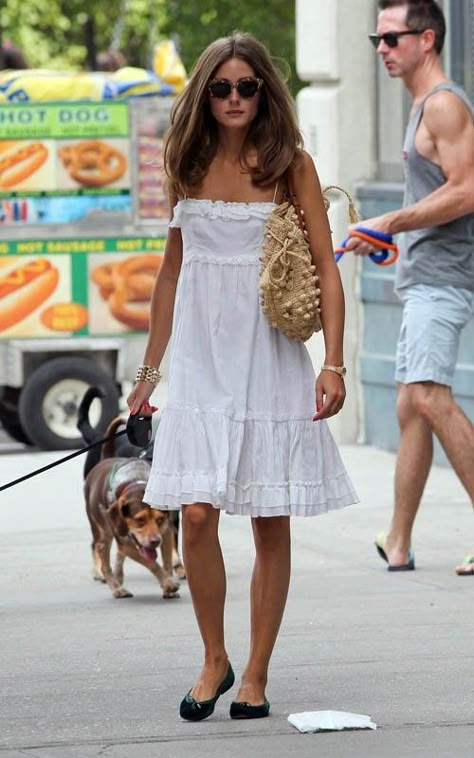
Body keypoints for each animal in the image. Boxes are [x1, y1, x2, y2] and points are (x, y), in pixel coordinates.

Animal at [83, 418, 180, 604]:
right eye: (139, 520)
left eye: (160, 519)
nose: (155, 541)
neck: (138, 481)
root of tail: (105, 459)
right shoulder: (127, 543)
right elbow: (152, 564)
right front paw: (168, 583)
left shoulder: (166, 533)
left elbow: (166, 562)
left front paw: (168, 585)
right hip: (103, 531)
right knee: (102, 554)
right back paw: (116, 588)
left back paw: (118, 576)